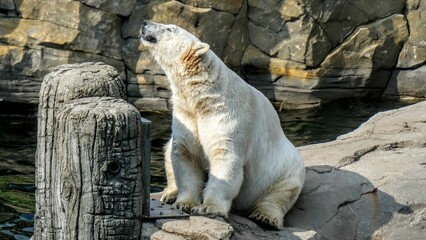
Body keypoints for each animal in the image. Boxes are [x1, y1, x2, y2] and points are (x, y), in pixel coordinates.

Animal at [141, 21, 304, 229]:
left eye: (170, 28)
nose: (145, 23)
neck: (204, 98)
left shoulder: (227, 118)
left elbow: (224, 160)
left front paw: (208, 207)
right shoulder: (185, 115)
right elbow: (185, 155)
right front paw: (184, 203)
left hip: (287, 167)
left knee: (281, 191)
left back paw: (265, 217)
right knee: (168, 151)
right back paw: (170, 194)